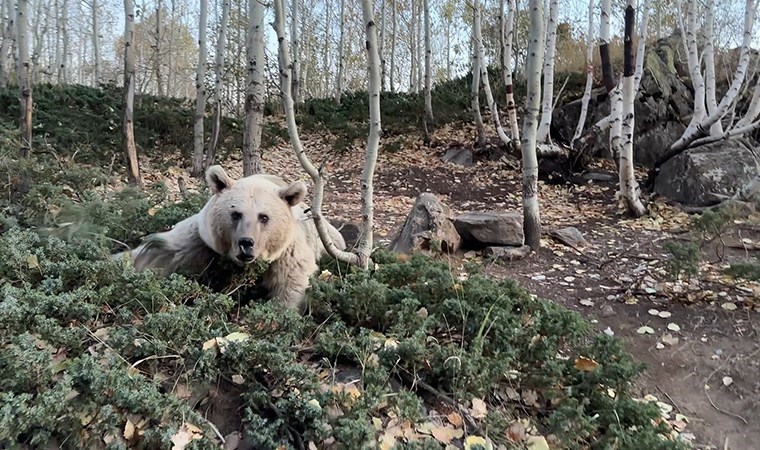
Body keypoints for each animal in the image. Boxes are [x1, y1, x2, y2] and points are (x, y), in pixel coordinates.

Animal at [113, 165, 348, 310]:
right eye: (236, 214)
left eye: (264, 217)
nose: (246, 243)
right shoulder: (202, 240)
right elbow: (160, 253)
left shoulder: (286, 252)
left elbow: (290, 283)